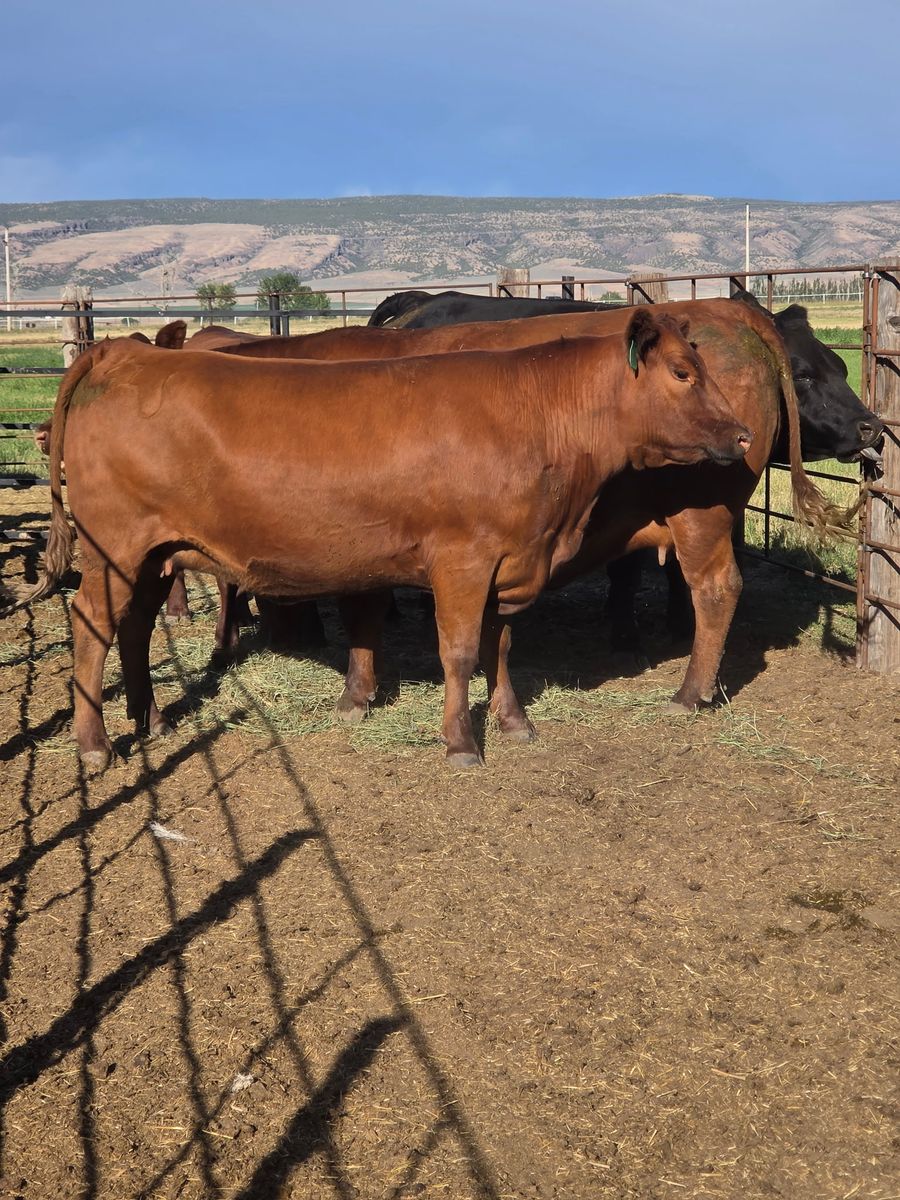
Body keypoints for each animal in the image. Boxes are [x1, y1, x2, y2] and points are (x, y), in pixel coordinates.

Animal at [3, 310, 752, 774]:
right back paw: (95, 745)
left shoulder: (510, 565)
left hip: (155, 554)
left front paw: (514, 723)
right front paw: (461, 743)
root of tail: (121, 353)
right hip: (115, 545)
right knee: (92, 624)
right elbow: (459, 651)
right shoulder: (462, 560)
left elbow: (501, 646)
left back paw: (152, 720)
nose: (744, 435)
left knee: (132, 627)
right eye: (682, 373)